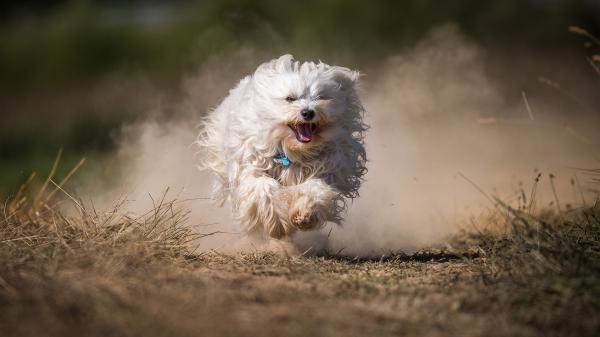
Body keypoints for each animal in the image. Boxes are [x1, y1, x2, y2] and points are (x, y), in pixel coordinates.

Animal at [198, 53, 366, 245]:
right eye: (290, 99)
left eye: (321, 97)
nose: (308, 112)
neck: (292, 151)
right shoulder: (251, 165)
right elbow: (264, 188)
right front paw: (277, 224)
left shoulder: (327, 169)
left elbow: (314, 188)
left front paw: (304, 213)